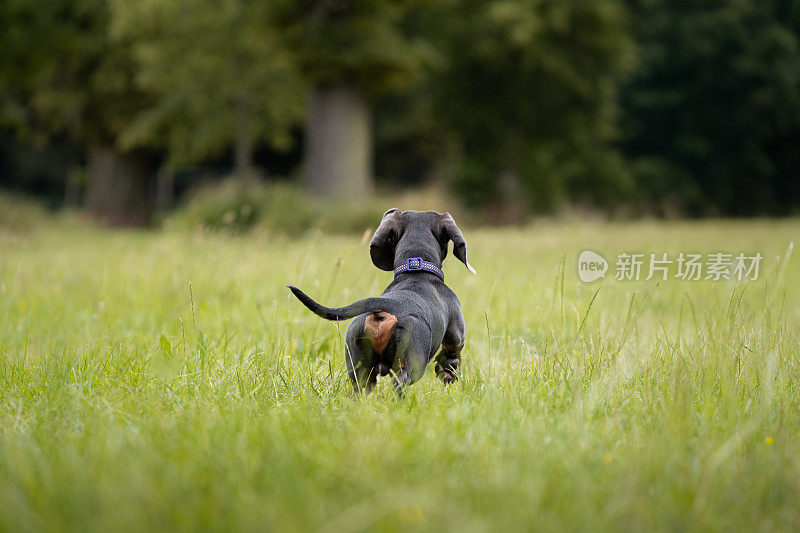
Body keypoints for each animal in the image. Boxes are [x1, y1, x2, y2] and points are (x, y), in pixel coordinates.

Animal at [288, 210, 476, 392]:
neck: (416, 273)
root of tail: (385, 307)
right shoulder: (456, 334)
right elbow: (453, 354)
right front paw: (448, 373)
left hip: (359, 367)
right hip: (411, 362)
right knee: (399, 384)